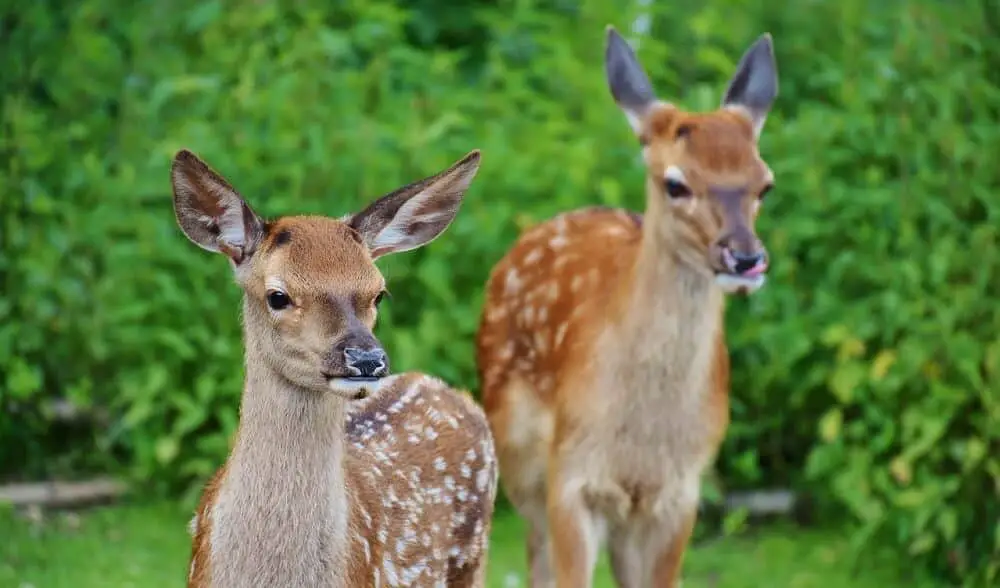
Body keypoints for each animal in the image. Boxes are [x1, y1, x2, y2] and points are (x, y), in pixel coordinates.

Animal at [476, 26, 780, 588]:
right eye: (676, 182)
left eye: (764, 183)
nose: (746, 257)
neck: (642, 438)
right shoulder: (571, 476)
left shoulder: (679, 491)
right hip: (518, 456)